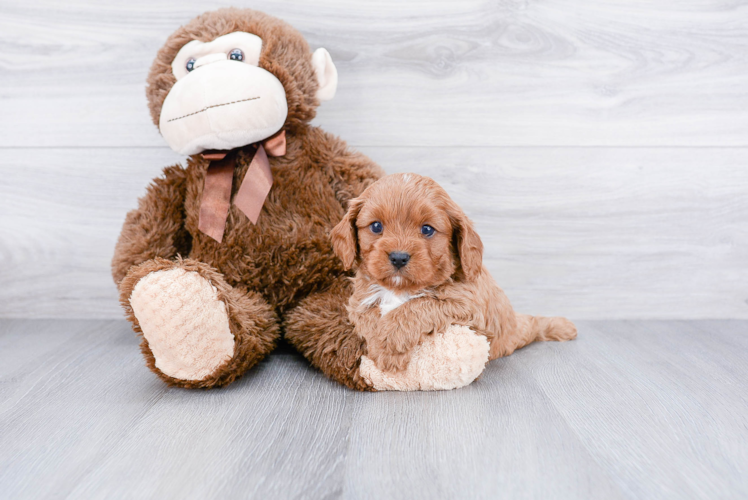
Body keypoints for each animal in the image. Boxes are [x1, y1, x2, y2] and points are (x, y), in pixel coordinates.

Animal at [330, 174, 576, 374]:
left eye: (427, 229)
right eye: (376, 226)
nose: (399, 257)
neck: (400, 289)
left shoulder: (468, 305)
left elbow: (419, 305)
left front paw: (390, 342)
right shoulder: (359, 301)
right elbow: (368, 318)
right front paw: (379, 345)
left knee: (535, 324)